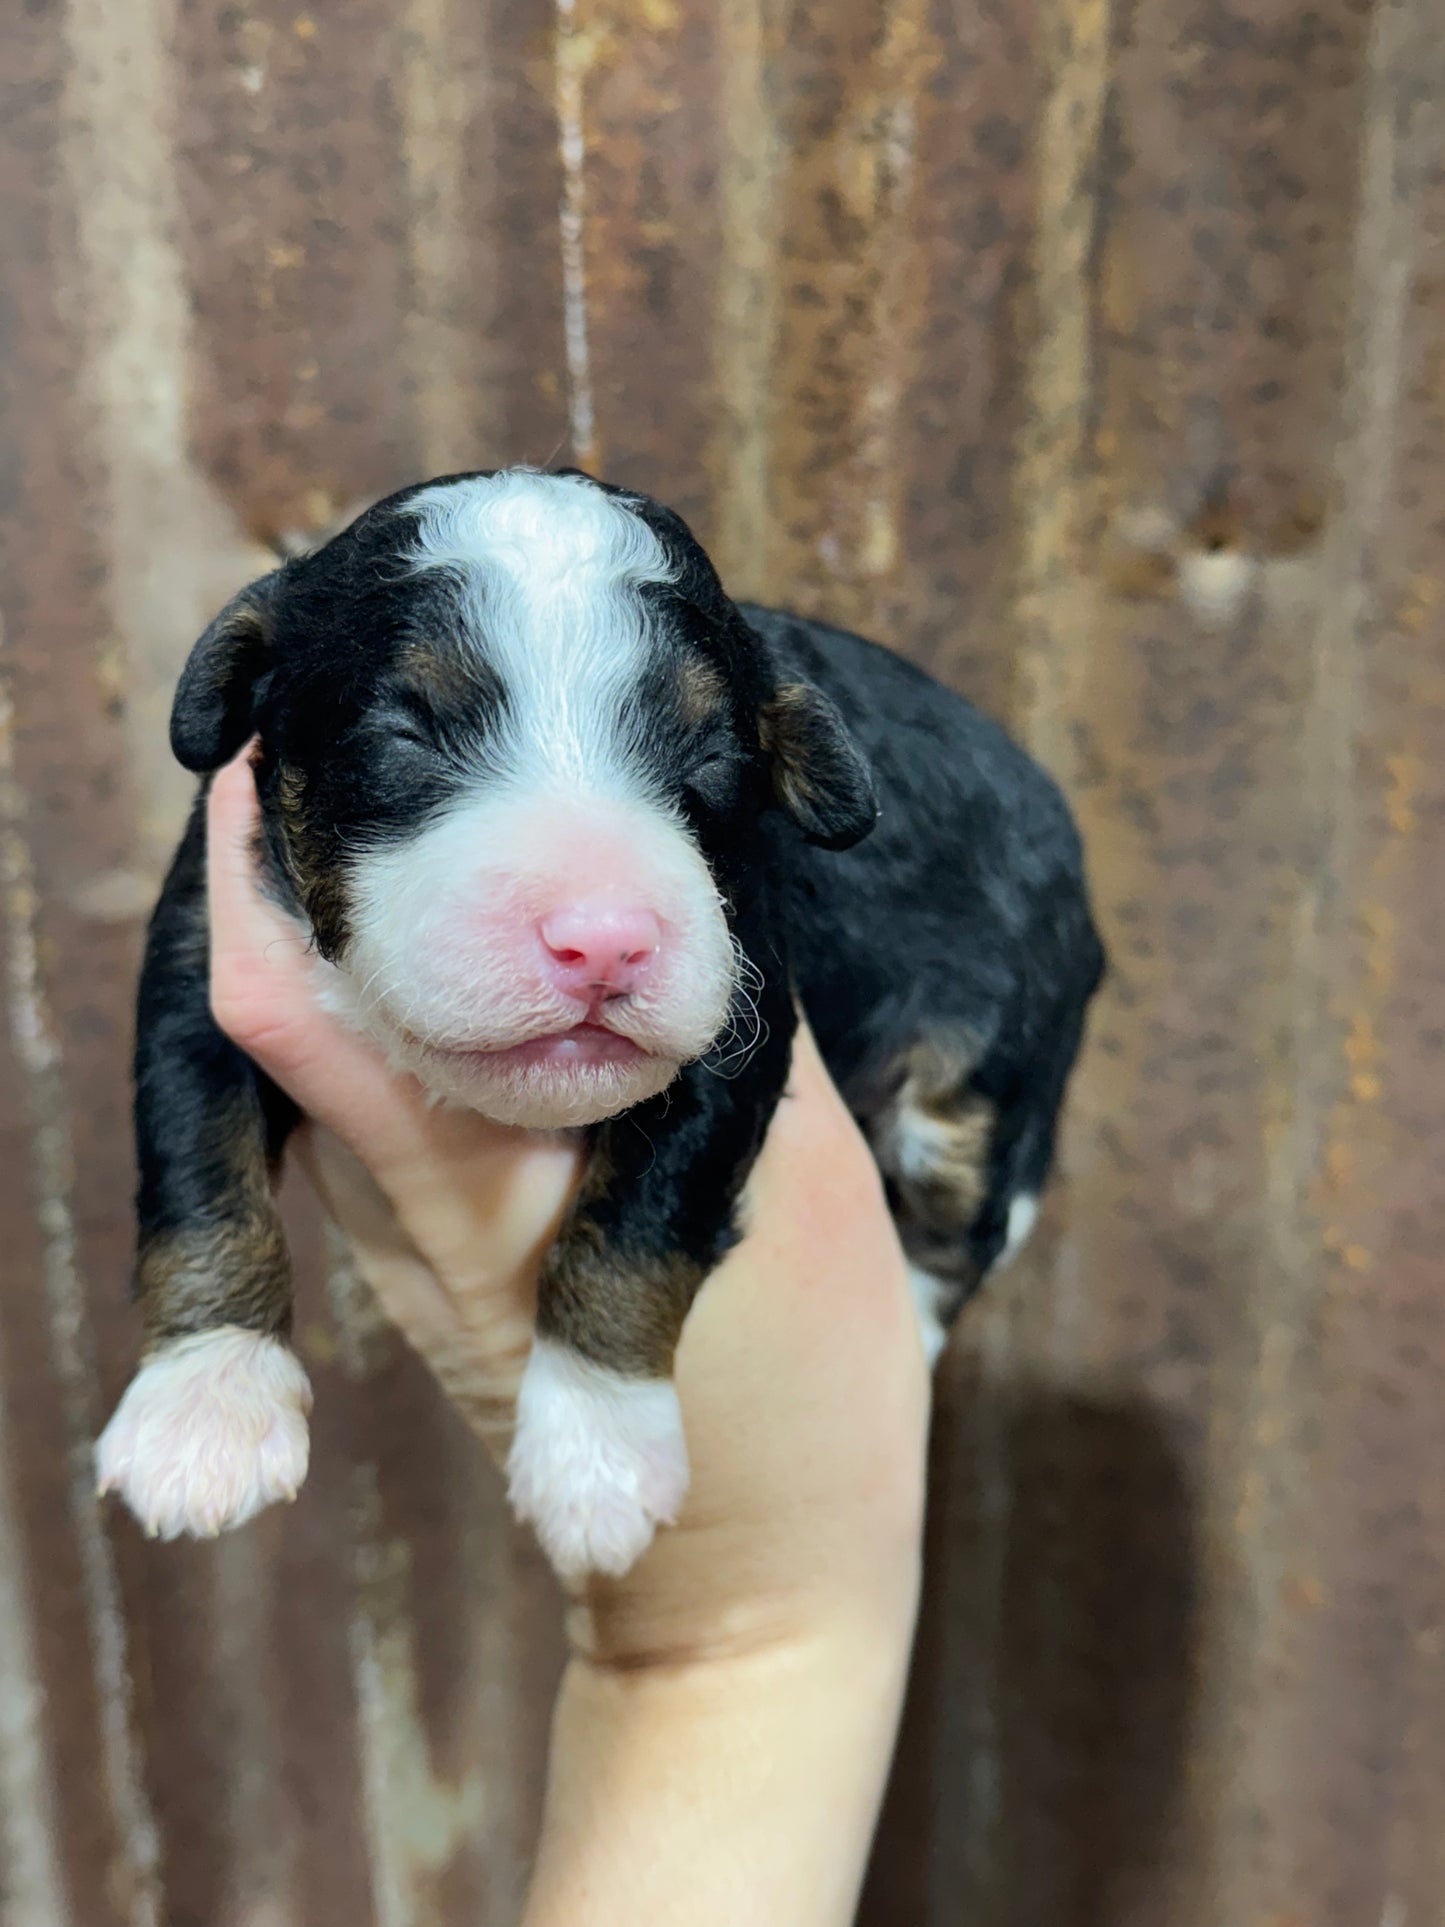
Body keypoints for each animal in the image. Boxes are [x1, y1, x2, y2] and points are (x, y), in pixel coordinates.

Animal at [93, 470, 1109, 1580]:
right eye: (406, 734)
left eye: (713, 754)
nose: (604, 942)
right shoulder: (199, 965)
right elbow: (200, 1173)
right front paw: (204, 1406)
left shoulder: (740, 1006)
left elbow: (637, 1224)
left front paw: (596, 1455)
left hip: (987, 1066)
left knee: (958, 1233)